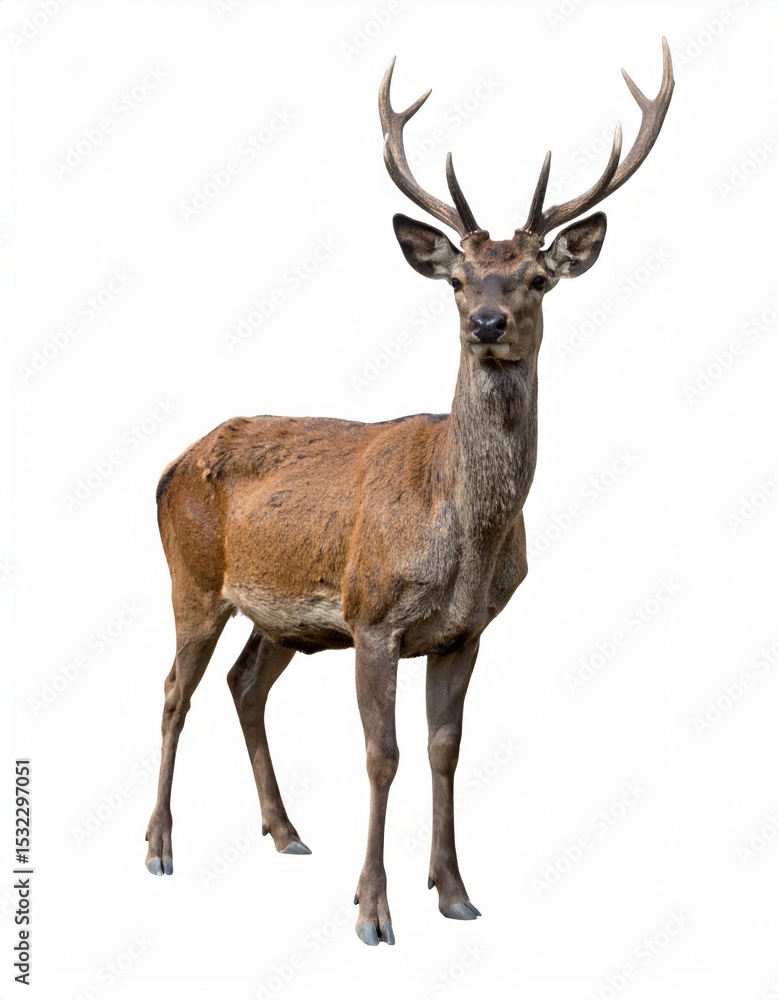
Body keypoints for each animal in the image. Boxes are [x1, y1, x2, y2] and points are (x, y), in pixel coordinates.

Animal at [145, 41, 673, 946]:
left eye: (537, 279)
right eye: (458, 279)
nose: (487, 323)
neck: (465, 537)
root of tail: (168, 466)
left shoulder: (465, 630)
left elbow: (444, 749)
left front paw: (454, 890)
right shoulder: (373, 613)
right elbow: (381, 754)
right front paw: (373, 911)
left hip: (281, 616)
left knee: (243, 684)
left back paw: (285, 832)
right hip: (194, 578)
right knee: (174, 691)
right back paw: (158, 847)